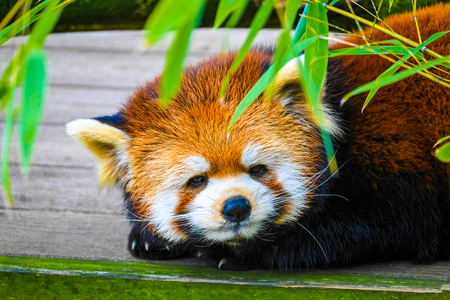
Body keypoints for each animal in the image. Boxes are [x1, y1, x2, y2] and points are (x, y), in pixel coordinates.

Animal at [66, 2, 450, 270]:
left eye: (259, 169)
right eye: (196, 179)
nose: (236, 207)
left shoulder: (395, 171)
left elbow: (372, 229)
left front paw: (244, 253)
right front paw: (150, 239)